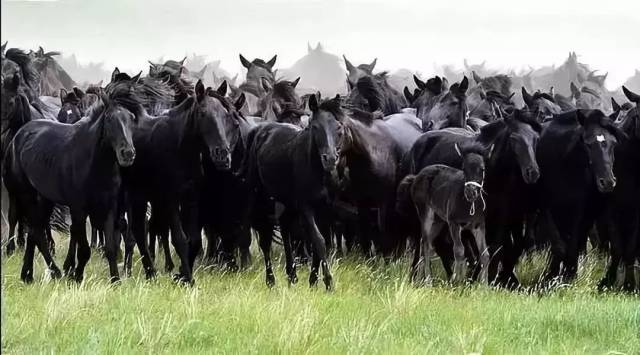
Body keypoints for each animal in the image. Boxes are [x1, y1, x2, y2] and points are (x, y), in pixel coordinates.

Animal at [3, 81, 139, 284]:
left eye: (131, 119)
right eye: (109, 119)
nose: (128, 153)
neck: (94, 164)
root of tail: (19, 134)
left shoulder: (109, 207)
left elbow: (110, 247)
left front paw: (115, 279)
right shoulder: (79, 209)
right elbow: (84, 248)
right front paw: (76, 276)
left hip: (45, 198)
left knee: (35, 232)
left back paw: (28, 275)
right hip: (26, 195)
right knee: (35, 232)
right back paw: (54, 272)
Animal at [242, 95, 344, 292]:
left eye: (338, 127)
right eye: (315, 126)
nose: (329, 159)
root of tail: (260, 130)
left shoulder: (326, 211)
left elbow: (322, 243)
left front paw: (313, 281)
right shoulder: (306, 208)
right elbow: (318, 241)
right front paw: (328, 282)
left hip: (286, 204)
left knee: (286, 233)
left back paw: (292, 276)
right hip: (262, 202)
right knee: (265, 241)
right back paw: (271, 281)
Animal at [398, 143, 492, 286]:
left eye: (482, 169)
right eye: (464, 168)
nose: (471, 192)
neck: (469, 205)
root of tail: (416, 176)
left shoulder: (479, 226)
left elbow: (485, 254)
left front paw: (484, 286)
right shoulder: (454, 223)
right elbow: (459, 251)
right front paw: (456, 282)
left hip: (439, 221)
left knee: (426, 243)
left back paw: (419, 279)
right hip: (426, 213)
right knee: (426, 244)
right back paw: (428, 281)